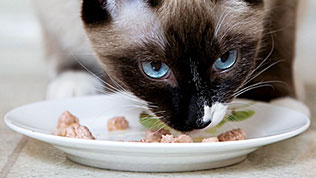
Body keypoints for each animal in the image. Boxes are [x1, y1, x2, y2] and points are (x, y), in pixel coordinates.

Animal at [32, 0, 308, 131]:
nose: (198, 120)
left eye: (225, 60)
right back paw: (73, 82)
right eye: (155, 68)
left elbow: (278, 43)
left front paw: (280, 102)